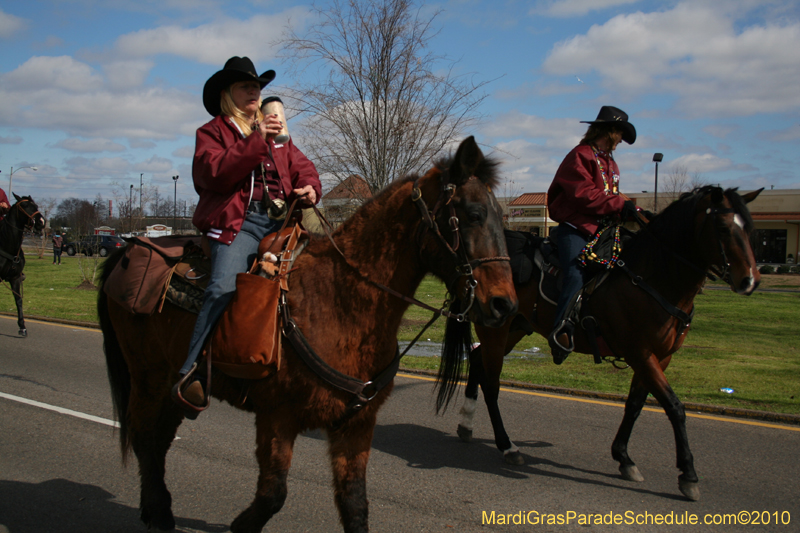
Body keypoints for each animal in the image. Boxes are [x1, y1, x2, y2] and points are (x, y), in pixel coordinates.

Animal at [0, 194, 45, 336]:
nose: (41, 222)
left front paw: (22, 326)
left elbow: (18, 300)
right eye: (24, 206)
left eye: (36, 206)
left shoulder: (15, 278)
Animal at [97, 137, 520, 532]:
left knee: (160, 437)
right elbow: (273, 494)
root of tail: (126, 252)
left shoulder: (355, 427)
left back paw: (156, 508)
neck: (341, 300)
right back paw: (158, 511)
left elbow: (354, 505)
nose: (505, 305)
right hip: (148, 376)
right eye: (473, 214)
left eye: (502, 217)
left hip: (168, 384)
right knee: (144, 434)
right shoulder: (277, 418)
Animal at [438, 185, 764, 500]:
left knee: (477, 361)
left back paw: (467, 423)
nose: (750, 280)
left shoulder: (659, 357)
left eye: (750, 228)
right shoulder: (640, 353)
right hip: (496, 330)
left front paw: (623, 457)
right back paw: (506, 445)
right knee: (491, 383)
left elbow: (635, 405)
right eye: (722, 227)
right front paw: (688, 474)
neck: (651, 277)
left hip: (515, 328)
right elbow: (674, 407)